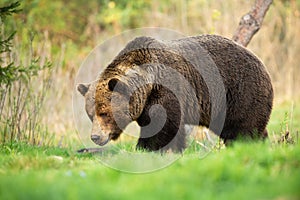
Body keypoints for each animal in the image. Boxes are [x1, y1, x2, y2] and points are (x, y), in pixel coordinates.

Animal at [78, 34, 274, 152]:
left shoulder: (168, 90)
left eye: (104, 113)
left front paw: (147, 148)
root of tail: (261, 62)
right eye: (90, 114)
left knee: (243, 127)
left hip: (240, 91)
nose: (95, 137)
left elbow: (163, 126)